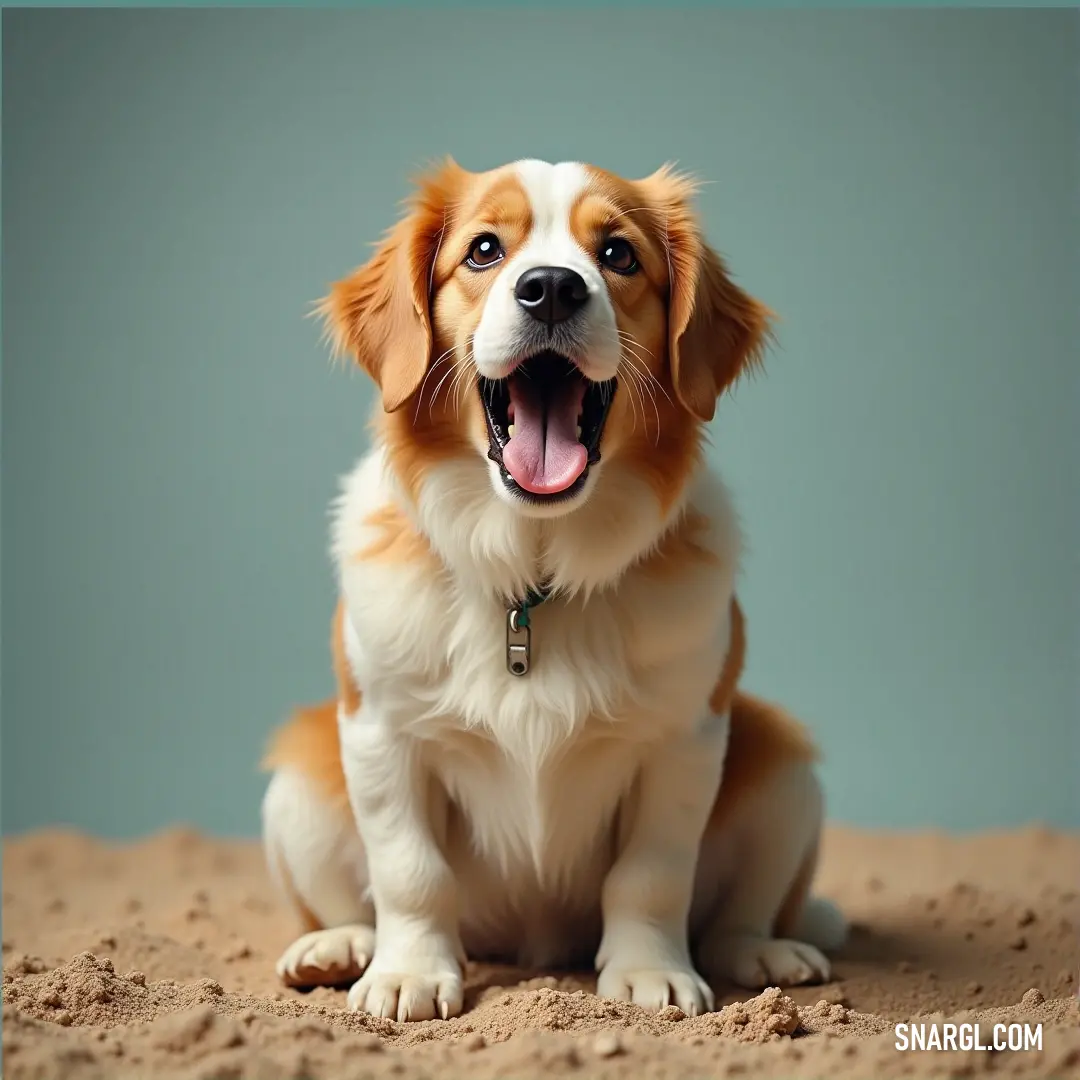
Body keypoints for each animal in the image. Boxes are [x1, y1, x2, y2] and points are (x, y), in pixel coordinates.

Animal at [259, 157, 842, 1019]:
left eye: (619, 254)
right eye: (484, 250)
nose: (553, 289)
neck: (531, 576)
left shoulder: (685, 737)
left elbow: (652, 875)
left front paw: (649, 973)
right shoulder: (379, 732)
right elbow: (410, 871)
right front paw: (410, 973)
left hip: (785, 767)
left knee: (738, 915)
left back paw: (765, 952)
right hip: (298, 782)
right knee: (345, 899)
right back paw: (339, 947)